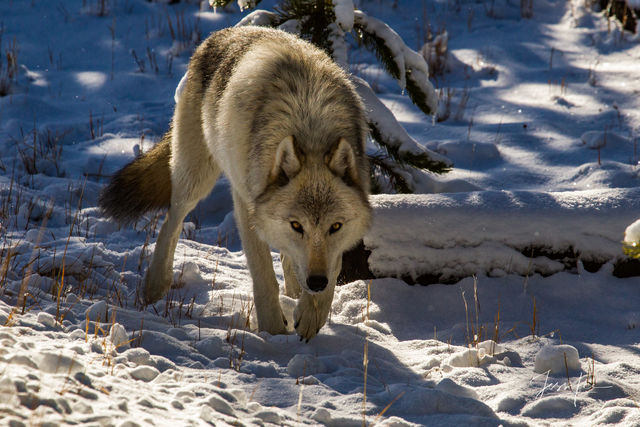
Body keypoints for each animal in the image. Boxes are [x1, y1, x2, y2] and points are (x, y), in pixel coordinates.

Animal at [97, 25, 372, 342]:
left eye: (335, 227)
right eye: (297, 225)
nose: (315, 282)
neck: (310, 127)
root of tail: (228, 31)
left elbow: (330, 268)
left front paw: (310, 315)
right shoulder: (246, 205)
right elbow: (264, 275)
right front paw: (273, 333)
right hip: (197, 176)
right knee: (171, 219)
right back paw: (155, 286)